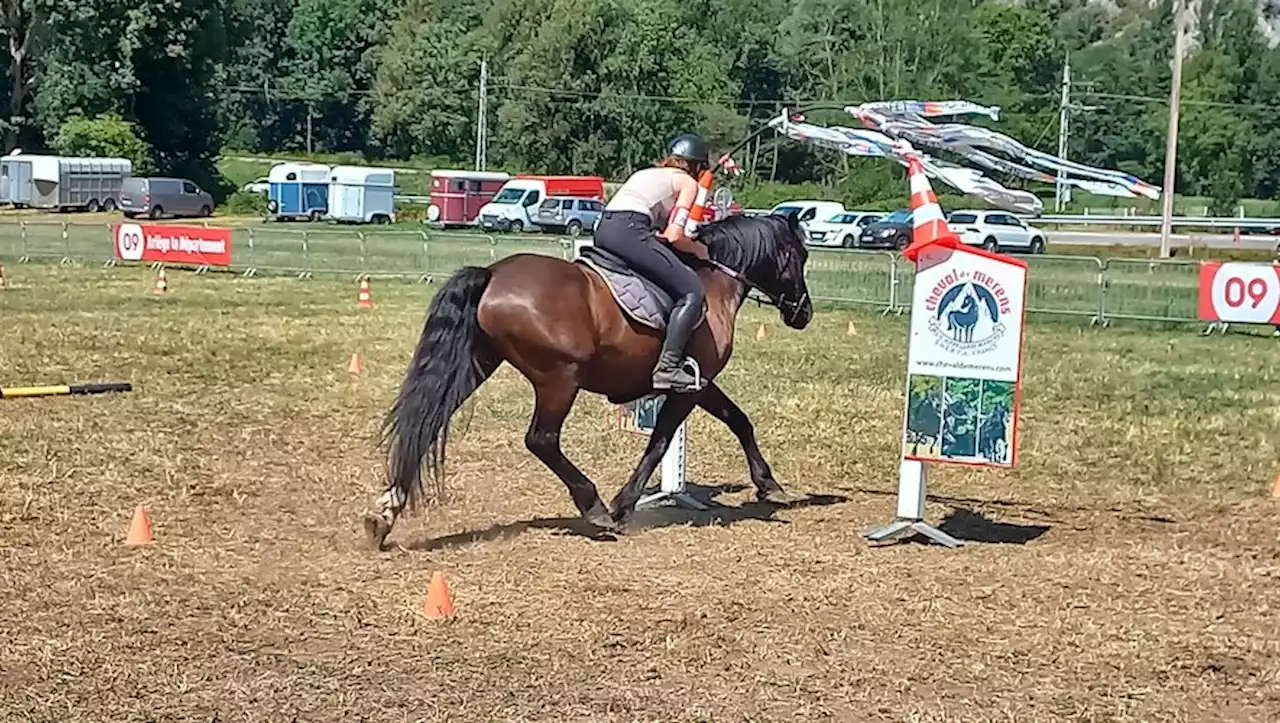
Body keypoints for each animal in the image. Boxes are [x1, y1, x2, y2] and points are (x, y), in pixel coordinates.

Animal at [366, 211, 814, 550]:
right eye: (800, 255)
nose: (803, 313)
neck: (712, 279)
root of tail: (492, 274)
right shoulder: (691, 386)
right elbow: (663, 442)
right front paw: (622, 505)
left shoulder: (698, 384)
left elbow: (736, 421)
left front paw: (767, 484)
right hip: (559, 379)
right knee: (541, 440)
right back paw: (594, 507)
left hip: (477, 364)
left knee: (427, 423)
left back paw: (383, 514)